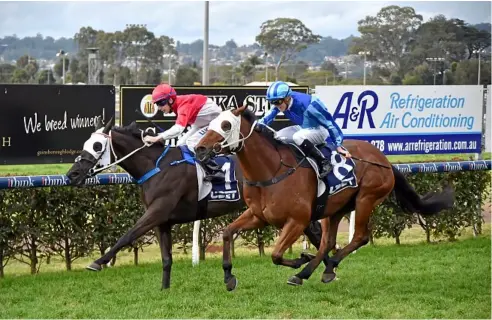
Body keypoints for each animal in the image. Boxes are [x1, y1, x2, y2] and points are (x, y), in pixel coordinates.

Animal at [194, 106, 456, 292]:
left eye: (226, 125)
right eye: (210, 123)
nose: (199, 149)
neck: (272, 170)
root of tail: (384, 160)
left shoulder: (297, 220)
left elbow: (276, 254)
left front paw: (299, 259)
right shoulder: (259, 216)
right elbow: (227, 232)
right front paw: (228, 275)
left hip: (366, 199)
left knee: (360, 237)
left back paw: (314, 270)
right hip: (335, 208)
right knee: (328, 243)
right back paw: (316, 271)